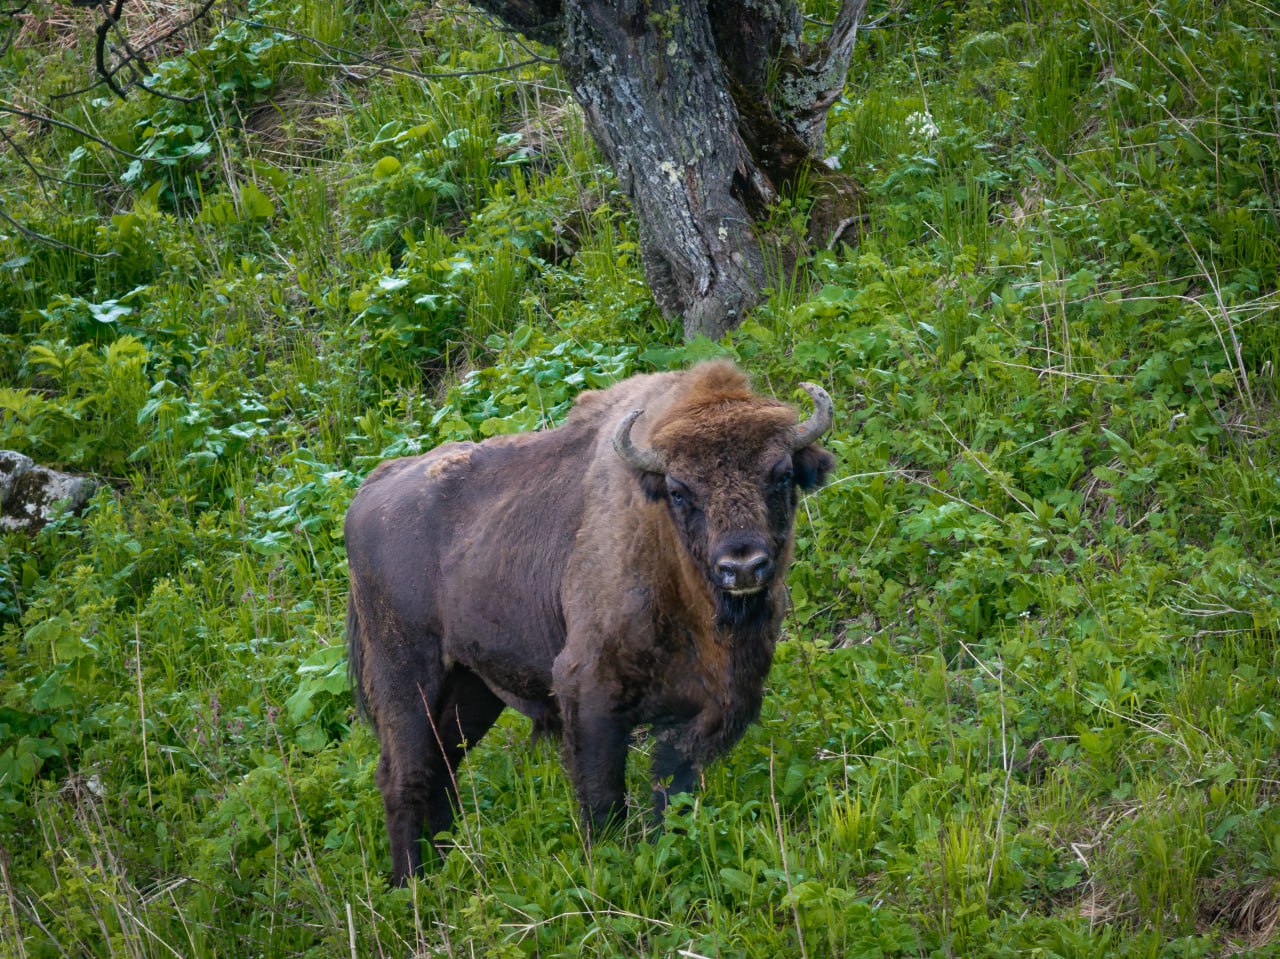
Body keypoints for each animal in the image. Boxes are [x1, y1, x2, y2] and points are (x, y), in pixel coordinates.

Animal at [345, 361, 834, 880]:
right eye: (680, 491)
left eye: (782, 475)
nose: (742, 566)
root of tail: (373, 486)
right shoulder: (589, 692)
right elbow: (603, 797)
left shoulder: (701, 713)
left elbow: (669, 796)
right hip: (405, 674)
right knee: (404, 774)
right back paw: (411, 883)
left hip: (471, 686)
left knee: (443, 765)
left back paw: (445, 867)